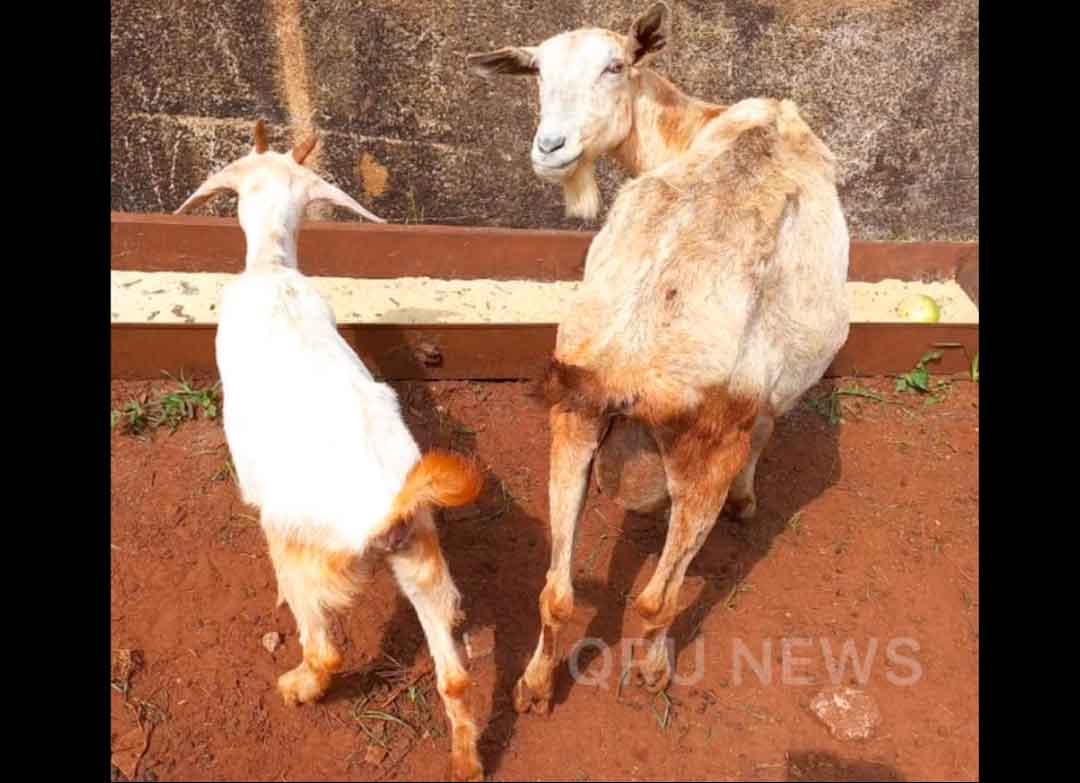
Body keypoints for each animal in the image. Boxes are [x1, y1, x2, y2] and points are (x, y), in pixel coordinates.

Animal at [176, 119, 486, 777]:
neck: (272, 265)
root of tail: (387, 511)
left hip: (295, 549)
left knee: (325, 652)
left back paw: (297, 687)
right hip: (423, 562)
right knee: (454, 677)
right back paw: (465, 761)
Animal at [468, 1, 846, 708]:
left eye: (614, 66)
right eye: (537, 73)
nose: (551, 146)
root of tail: (629, 361)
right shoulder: (769, 399)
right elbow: (767, 432)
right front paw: (748, 501)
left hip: (571, 420)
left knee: (556, 593)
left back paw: (534, 685)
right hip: (703, 453)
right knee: (655, 599)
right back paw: (651, 671)